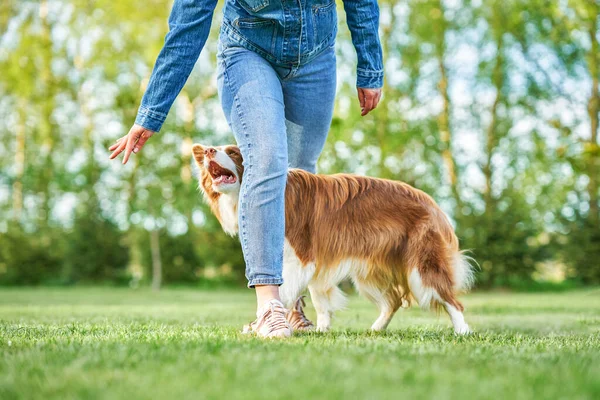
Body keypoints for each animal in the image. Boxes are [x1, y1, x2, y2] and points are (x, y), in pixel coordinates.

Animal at [192, 144, 474, 334]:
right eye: (214, 150)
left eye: (233, 152)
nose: (207, 151)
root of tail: (433, 204)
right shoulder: (315, 264)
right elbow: (319, 300)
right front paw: (322, 329)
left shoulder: (301, 257)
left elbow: (284, 291)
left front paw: (263, 322)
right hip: (370, 272)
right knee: (392, 302)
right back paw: (376, 328)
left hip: (421, 265)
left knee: (452, 300)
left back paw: (462, 331)